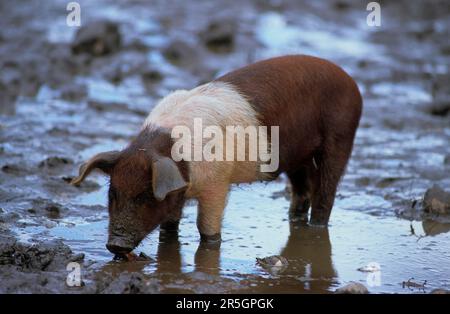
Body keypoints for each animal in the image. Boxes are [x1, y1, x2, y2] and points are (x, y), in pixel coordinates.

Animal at [71, 54, 362, 255]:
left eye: (144, 196)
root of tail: (350, 81)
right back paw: (296, 220)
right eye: (113, 193)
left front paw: (210, 247)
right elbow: (170, 224)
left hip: (341, 134)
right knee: (302, 190)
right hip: (298, 157)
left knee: (326, 192)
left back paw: (316, 226)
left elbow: (206, 228)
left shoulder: (217, 183)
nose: (115, 245)